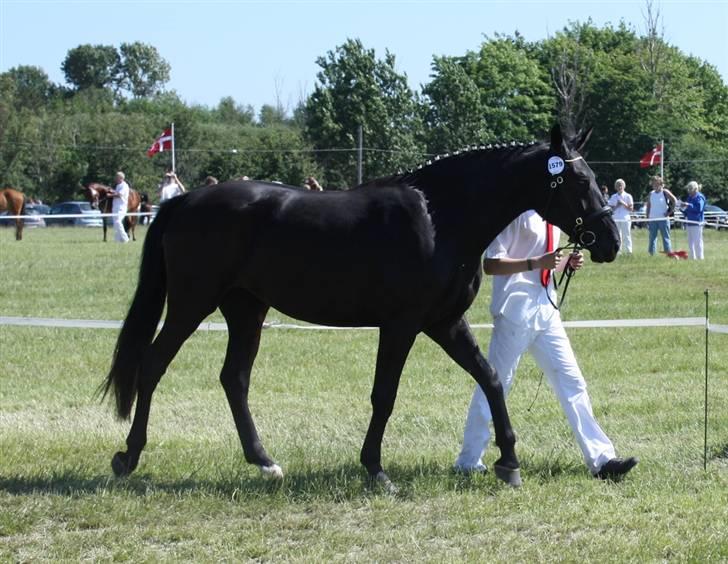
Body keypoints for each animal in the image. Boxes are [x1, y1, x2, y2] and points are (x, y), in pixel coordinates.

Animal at [99, 124, 616, 490]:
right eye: (578, 179)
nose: (609, 241)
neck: (440, 217)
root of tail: (185, 200)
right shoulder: (402, 325)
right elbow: (384, 395)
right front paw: (375, 469)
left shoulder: (445, 322)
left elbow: (489, 379)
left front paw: (508, 461)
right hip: (192, 304)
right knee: (153, 365)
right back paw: (128, 456)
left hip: (246, 310)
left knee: (234, 379)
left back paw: (265, 462)